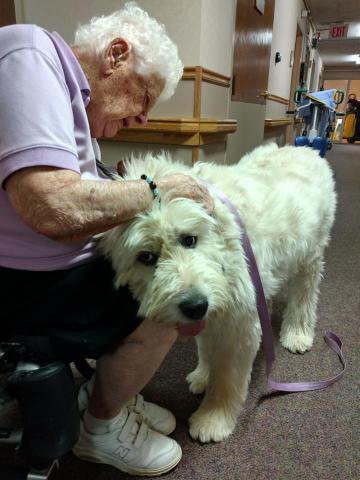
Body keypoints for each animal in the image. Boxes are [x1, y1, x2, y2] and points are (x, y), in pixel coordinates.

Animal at [100, 142, 336, 442]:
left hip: (310, 255)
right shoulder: (213, 311)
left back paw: (297, 333)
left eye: (189, 239)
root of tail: (303, 147)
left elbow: (226, 377)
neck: (224, 241)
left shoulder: (237, 324)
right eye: (146, 257)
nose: (194, 305)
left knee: (304, 294)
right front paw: (203, 376)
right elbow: (206, 347)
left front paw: (214, 418)